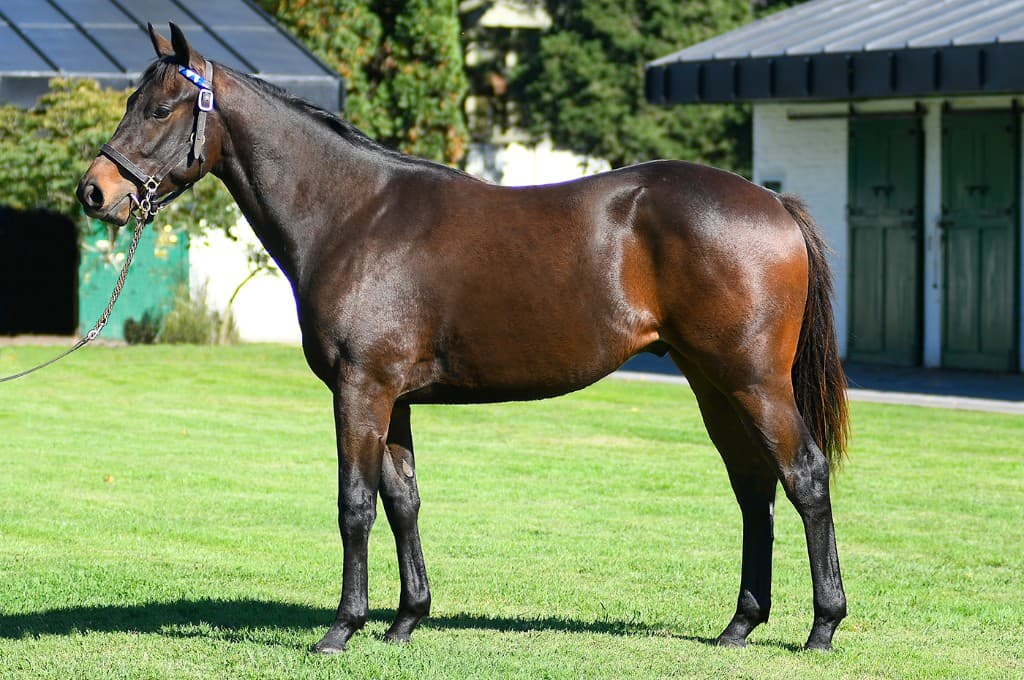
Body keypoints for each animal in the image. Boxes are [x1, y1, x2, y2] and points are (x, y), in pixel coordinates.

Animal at [77, 23, 849, 654]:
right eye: (132, 100)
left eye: (161, 108)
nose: (94, 192)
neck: (353, 214)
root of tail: (771, 201)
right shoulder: (394, 400)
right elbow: (403, 502)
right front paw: (405, 620)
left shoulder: (360, 390)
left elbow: (354, 504)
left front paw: (342, 629)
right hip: (712, 385)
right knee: (754, 489)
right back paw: (740, 625)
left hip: (754, 382)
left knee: (804, 476)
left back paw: (822, 625)